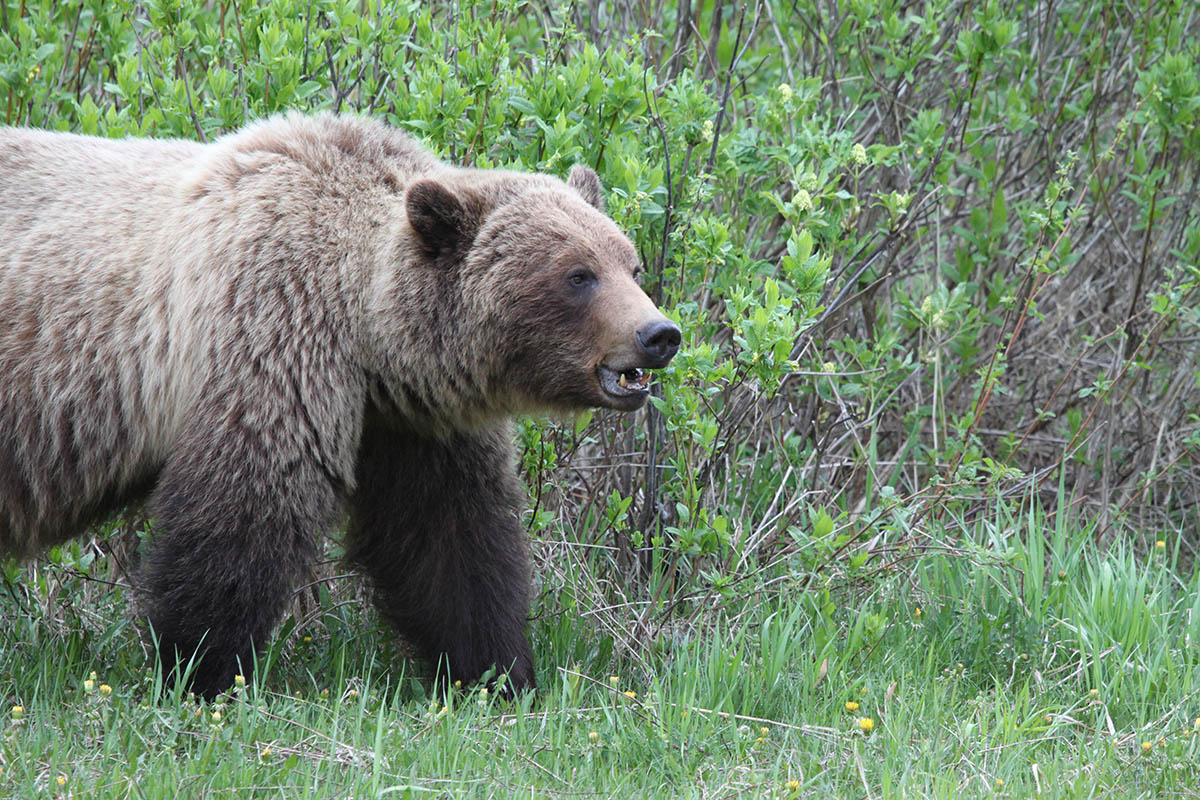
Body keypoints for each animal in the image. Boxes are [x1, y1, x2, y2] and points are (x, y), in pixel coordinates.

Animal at [0, 113, 681, 700]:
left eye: (630, 263)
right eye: (578, 275)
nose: (659, 334)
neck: (366, 330)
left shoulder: (411, 422)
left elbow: (450, 538)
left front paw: (494, 671)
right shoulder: (272, 335)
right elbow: (244, 513)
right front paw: (199, 670)